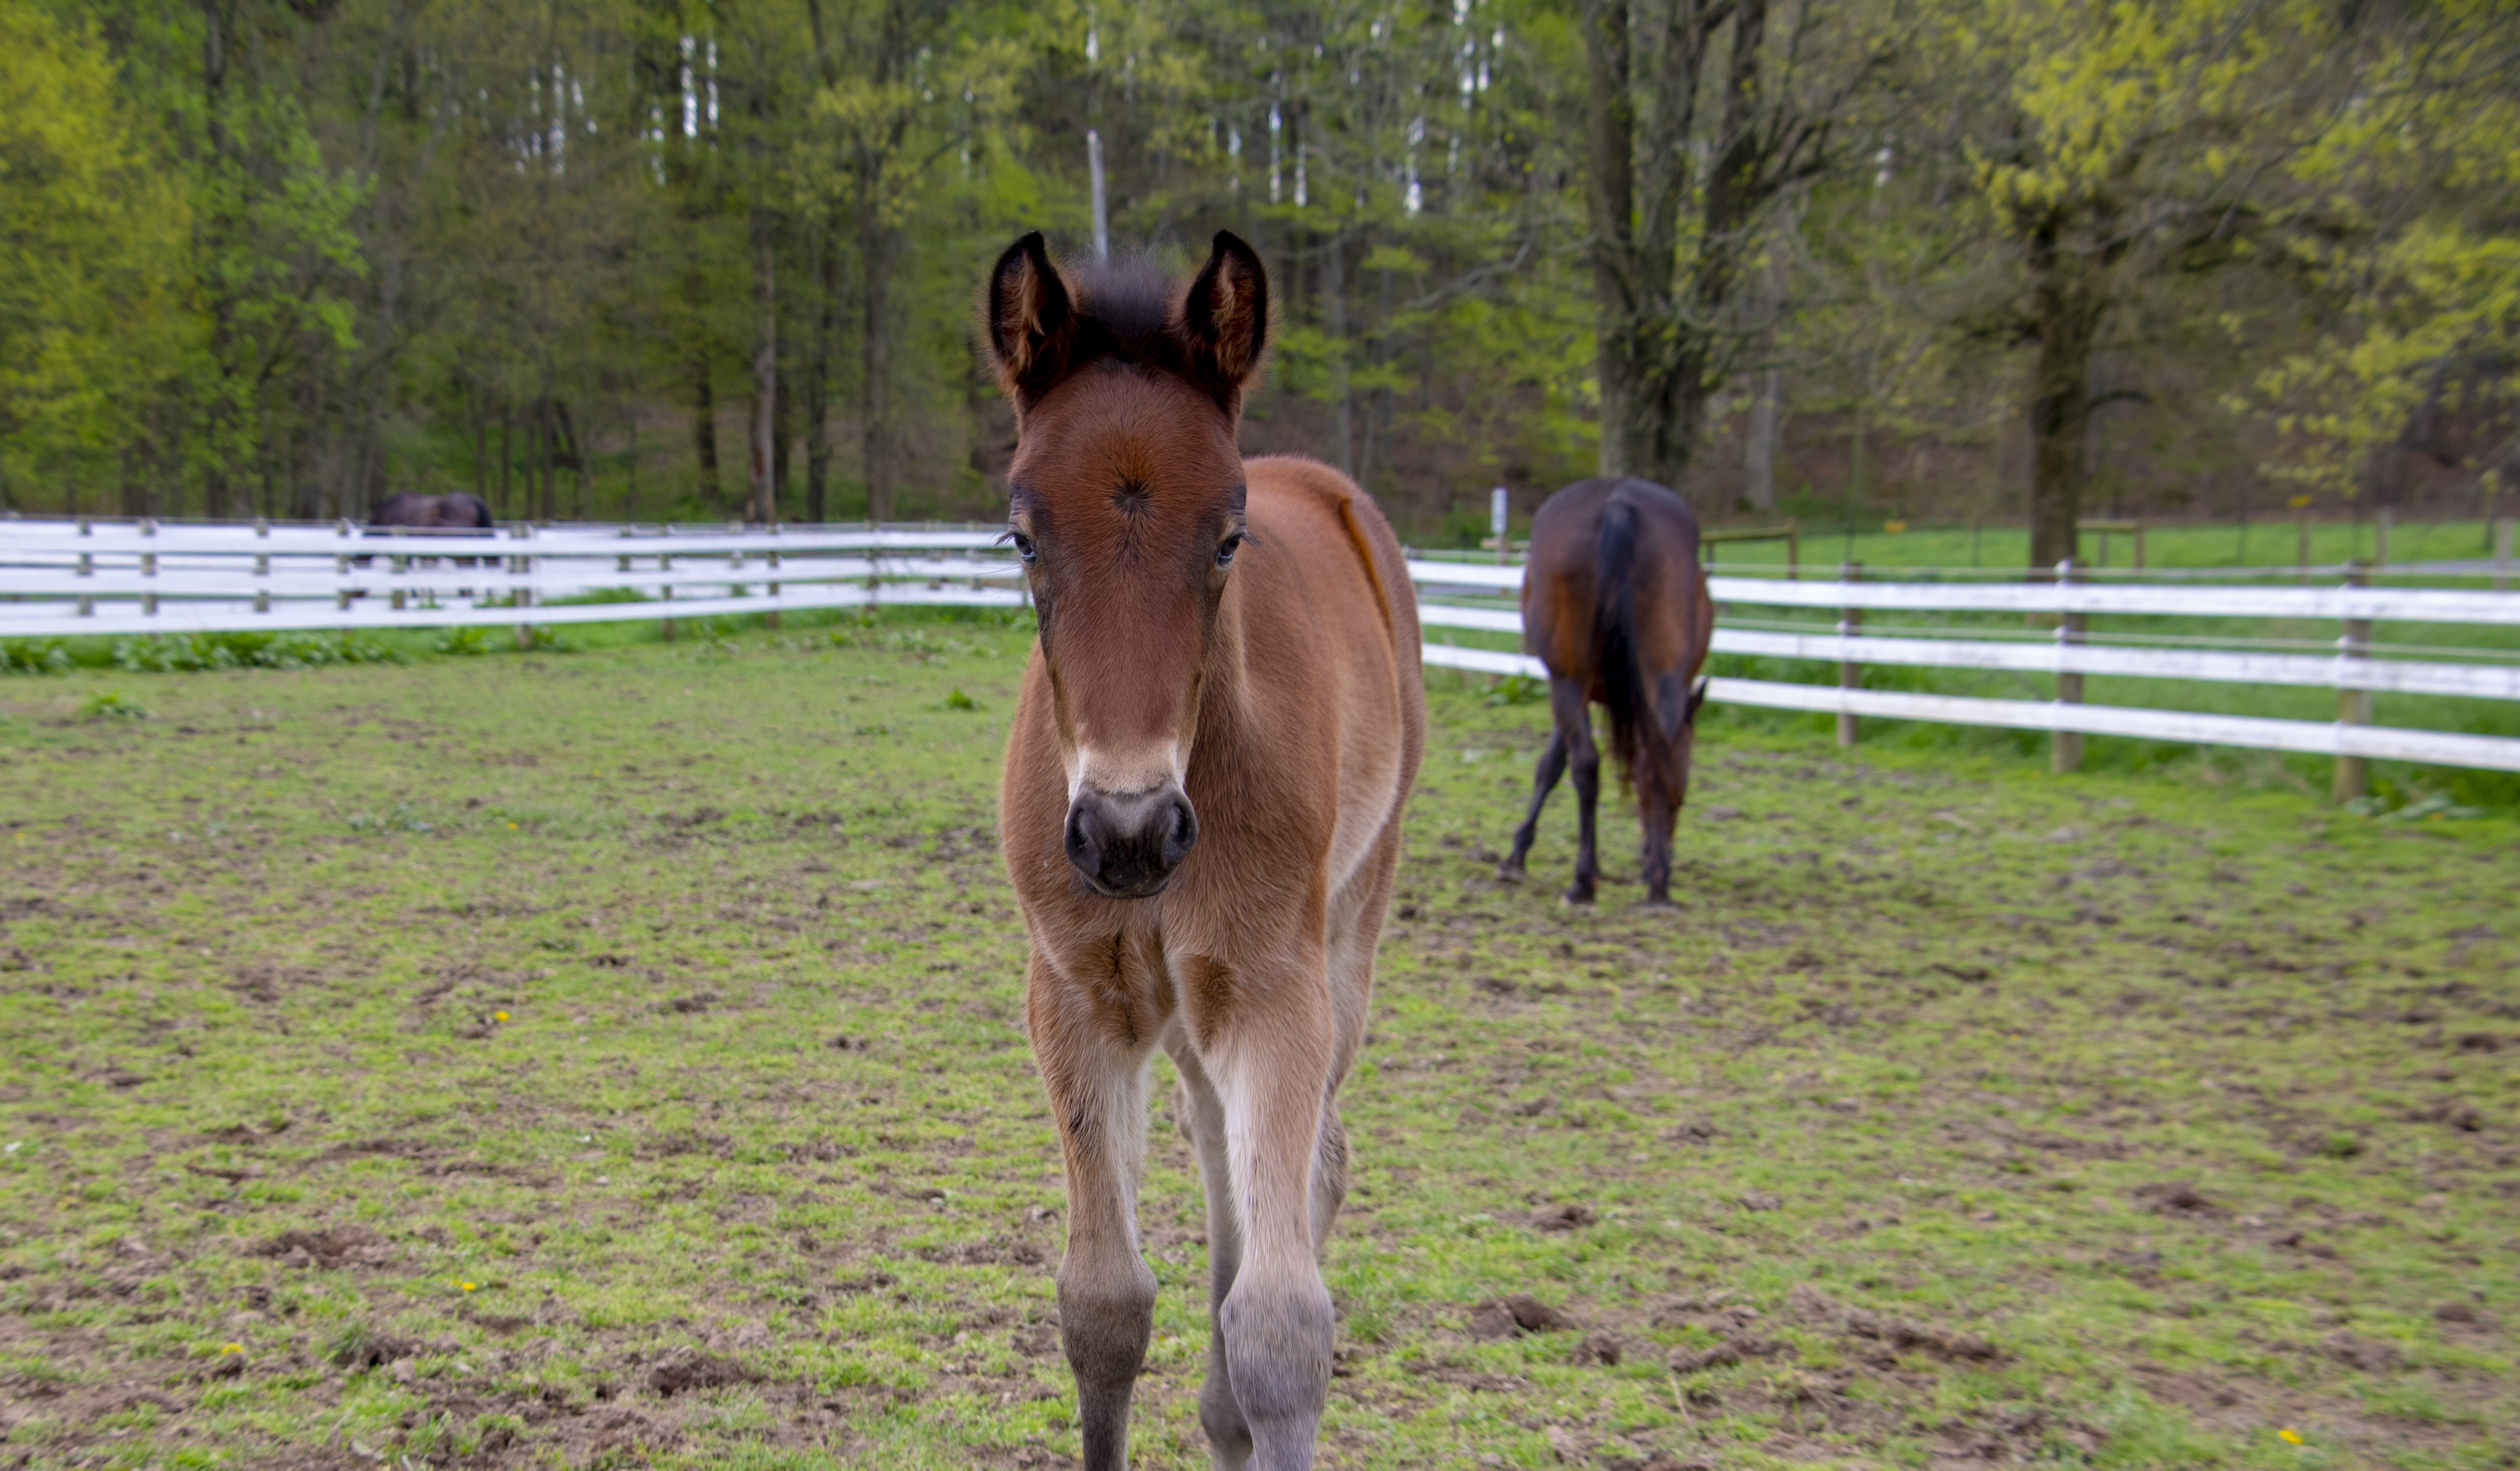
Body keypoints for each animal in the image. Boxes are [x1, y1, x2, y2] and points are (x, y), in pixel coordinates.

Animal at [987, 230, 1425, 1471]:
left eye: (1228, 537)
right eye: (1021, 537)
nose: (1128, 832)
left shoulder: (1273, 989)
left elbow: (1281, 1323)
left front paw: (1249, 1389)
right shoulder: (1076, 997)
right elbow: (1101, 1305)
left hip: (1343, 933)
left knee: (1310, 1161)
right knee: (1215, 1138)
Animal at [1496, 477, 1714, 907]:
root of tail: (1618, 501)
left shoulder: (1571, 690)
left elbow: (1551, 766)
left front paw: (1517, 855)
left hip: (1567, 680)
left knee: (1587, 765)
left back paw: (1584, 881)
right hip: (1655, 676)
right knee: (1653, 763)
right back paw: (1657, 881)